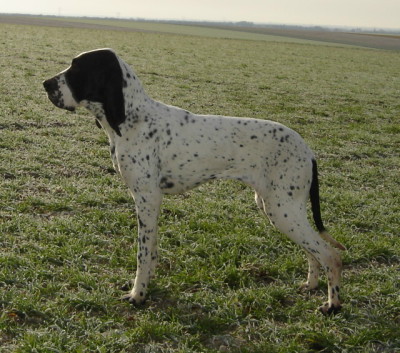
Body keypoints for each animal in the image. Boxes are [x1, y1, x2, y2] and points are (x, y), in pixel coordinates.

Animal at [43, 47, 344, 314]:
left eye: (77, 69)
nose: (45, 84)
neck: (133, 120)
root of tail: (308, 151)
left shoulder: (146, 199)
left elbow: (142, 253)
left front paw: (138, 295)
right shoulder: (151, 202)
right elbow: (152, 251)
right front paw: (146, 287)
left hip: (282, 209)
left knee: (329, 254)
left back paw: (332, 305)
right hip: (280, 209)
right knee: (312, 251)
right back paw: (310, 285)